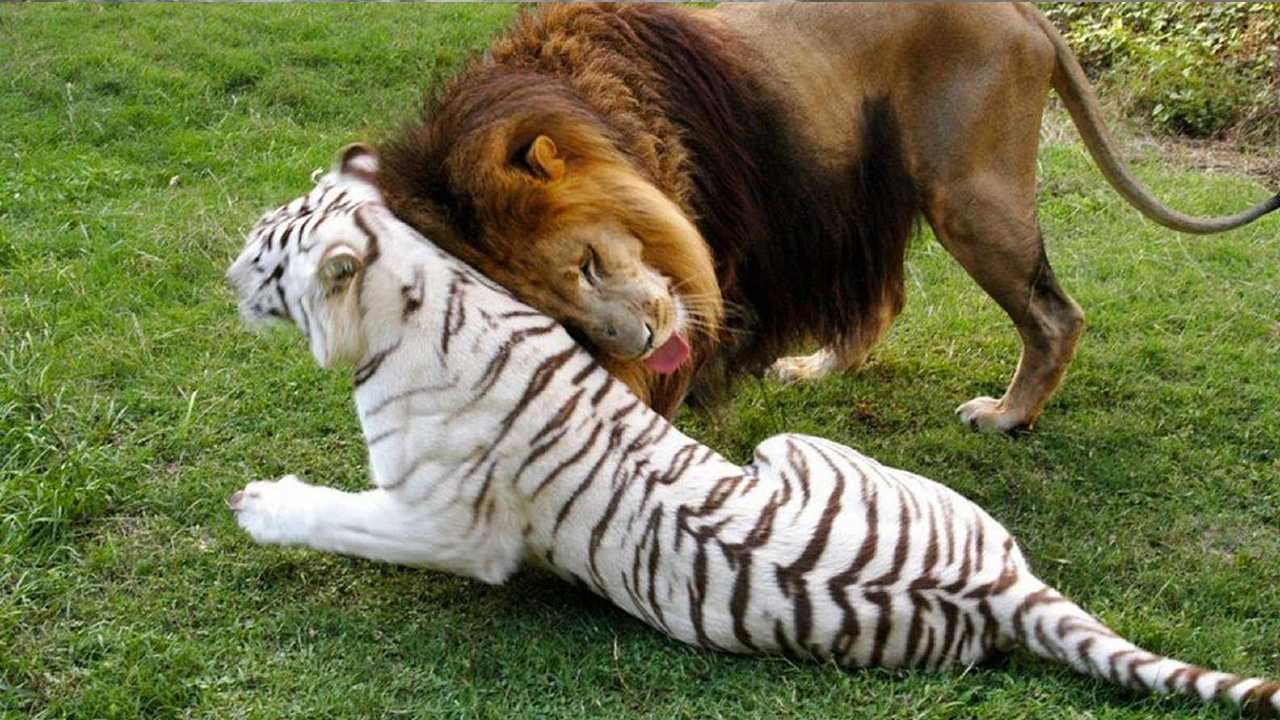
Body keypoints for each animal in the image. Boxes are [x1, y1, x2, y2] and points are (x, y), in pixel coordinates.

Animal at [225, 146, 1274, 712]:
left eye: (270, 256)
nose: (227, 274)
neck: (420, 287)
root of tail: (1001, 585)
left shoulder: (445, 523)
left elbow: (341, 517)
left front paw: (258, 504)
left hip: (786, 449)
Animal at [373, 2, 1280, 427]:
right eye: (562, 322)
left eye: (591, 264)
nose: (636, 344)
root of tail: (1024, 14)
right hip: (876, 187)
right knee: (883, 297)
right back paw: (816, 367)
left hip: (969, 191)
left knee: (1056, 315)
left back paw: (1008, 416)